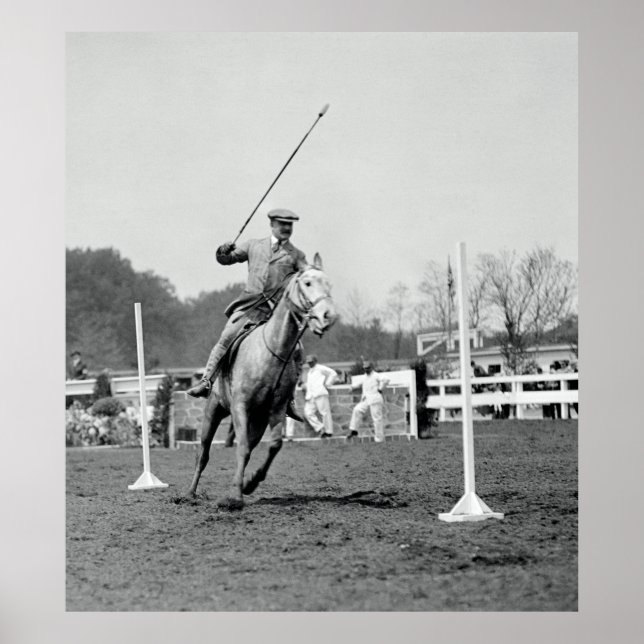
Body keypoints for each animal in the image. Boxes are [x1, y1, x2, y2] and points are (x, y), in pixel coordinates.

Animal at [185, 253, 337, 509]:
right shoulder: (240, 407)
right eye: (307, 283)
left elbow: (274, 445)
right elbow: (241, 447)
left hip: (257, 421)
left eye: (329, 285)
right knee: (203, 453)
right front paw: (234, 497)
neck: (271, 351)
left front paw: (249, 484)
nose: (328, 315)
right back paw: (189, 493)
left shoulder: (275, 411)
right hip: (213, 410)